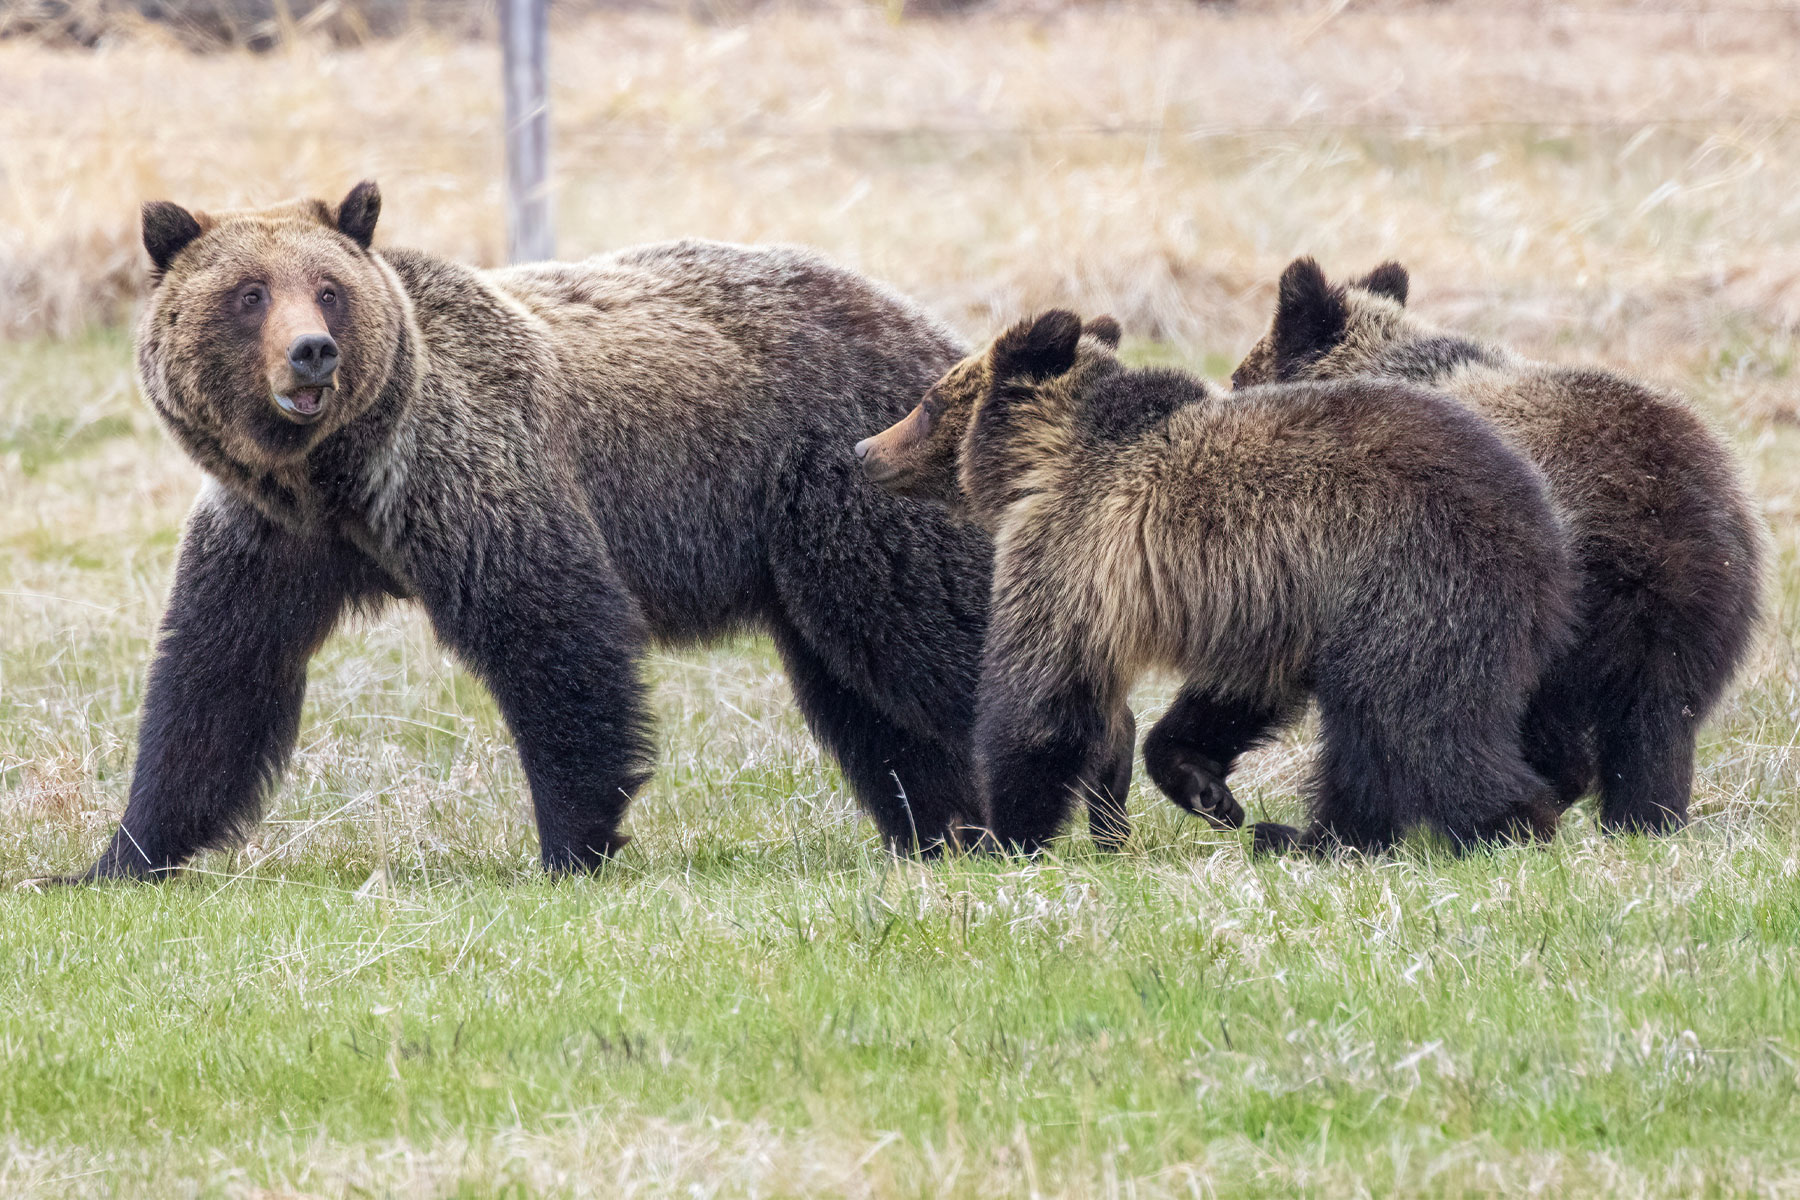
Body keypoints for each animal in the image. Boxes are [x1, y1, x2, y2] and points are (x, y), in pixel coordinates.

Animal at [73, 180, 996, 881]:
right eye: (249, 292)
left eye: (328, 288)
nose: (311, 351)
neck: (339, 479)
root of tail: (935, 332)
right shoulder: (269, 537)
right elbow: (216, 681)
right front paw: (117, 858)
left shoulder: (473, 481)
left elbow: (557, 637)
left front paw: (572, 844)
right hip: (806, 558)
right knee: (862, 696)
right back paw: (944, 831)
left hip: (849, 490)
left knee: (937, 632)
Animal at [856, 310, 1577, 854]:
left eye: (929, 402)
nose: (865, 449)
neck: (1046, 463)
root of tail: (1544, 535)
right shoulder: (1271, 601)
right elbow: (1236, 691)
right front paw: (1204, 786)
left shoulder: (1071, 552)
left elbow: (1042, 701)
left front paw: (1004, 836)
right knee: (1368, 735)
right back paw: (1317, 836)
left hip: (1411, 584)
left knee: (1416, 721)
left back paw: (1502, 824)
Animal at [1196, 257, 1765, 835]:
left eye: (1238, 376)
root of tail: (1659, 522)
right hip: (1694, 619)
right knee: (1653, 731)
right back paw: (1642, 819)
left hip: (1543, 613)